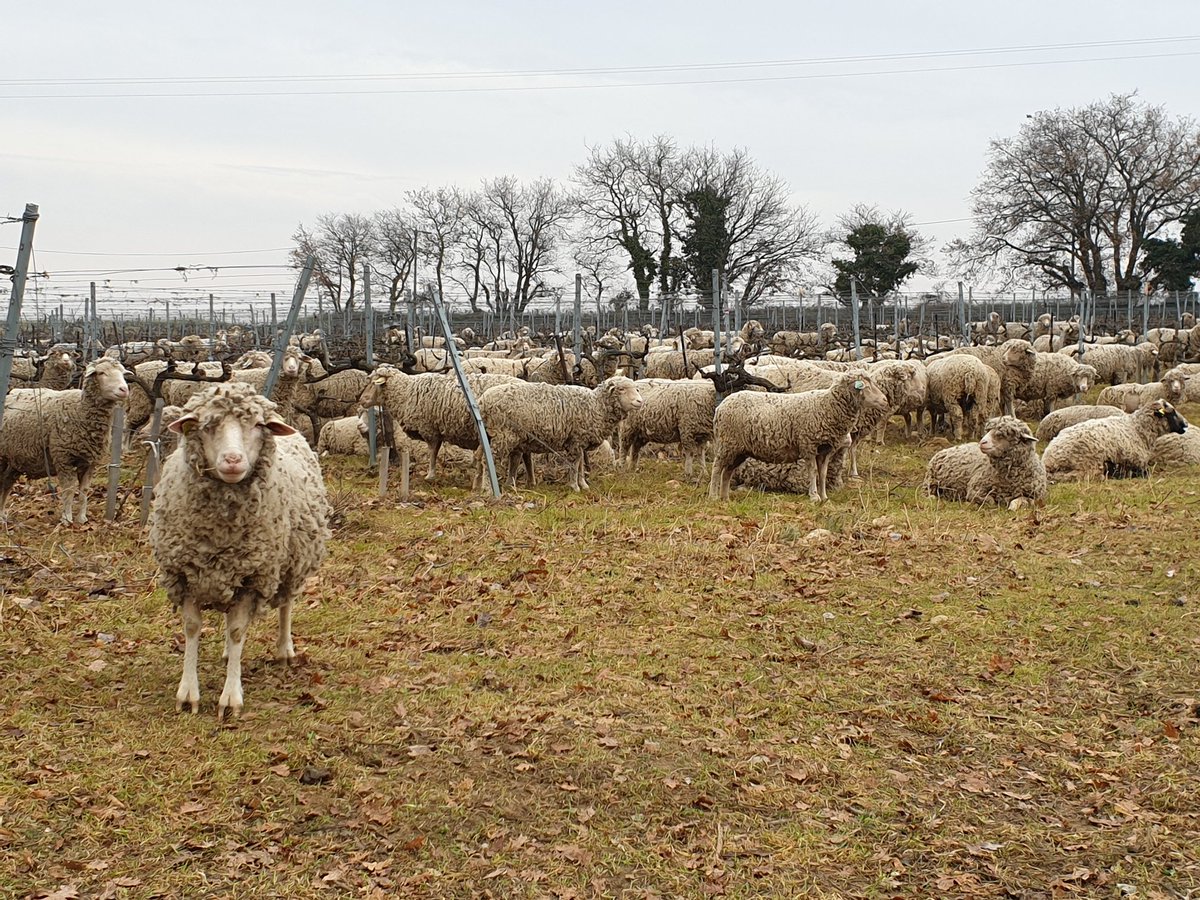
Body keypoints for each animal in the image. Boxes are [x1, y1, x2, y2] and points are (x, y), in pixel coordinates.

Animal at [0, 358, 131, 524]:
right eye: (101, 372)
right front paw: (67, 518)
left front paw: (82, 518)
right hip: (3, 457)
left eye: (122, 373)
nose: (124, 390)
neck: (80, 410)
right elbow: (69, 489)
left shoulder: (89, 462)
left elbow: (84, 491)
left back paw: (2, 514)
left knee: (6, 484)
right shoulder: (63, 457)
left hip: (15, 459)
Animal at [475, 376, 644, 491]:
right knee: (488, 460)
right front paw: (574, 487)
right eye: (621, 389)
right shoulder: (576, 441)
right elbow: (575, 465)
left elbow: (580, 465)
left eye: (636, 388)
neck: (596, 406)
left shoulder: (578, 442)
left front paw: (583, 485)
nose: (640, 401)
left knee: (485, 458)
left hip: (496, 435)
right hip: (504, 435)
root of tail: (482, 401)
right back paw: (488, 488)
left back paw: (496, 485)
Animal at [708, 372, 888, 502]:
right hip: (727, 443)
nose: (885, 400)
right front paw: (814, 496)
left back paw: (725, 497)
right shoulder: (808, 445)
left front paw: (824, 497)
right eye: (866, 386)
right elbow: (813, 471)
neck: (828, 406)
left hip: (739, 449)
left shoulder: (825, 449)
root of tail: (721, 406)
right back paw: (714, 496)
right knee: (717, 468)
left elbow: (822, 473)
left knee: (727, 471)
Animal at [1042, 398, 1188, 482]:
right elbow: (1144, 473)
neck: (1138, 429)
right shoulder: (1137, 462)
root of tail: (1048, 458)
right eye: (1172, 412)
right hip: (1088, 463)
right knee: (1077, 475)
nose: (1185, 425)